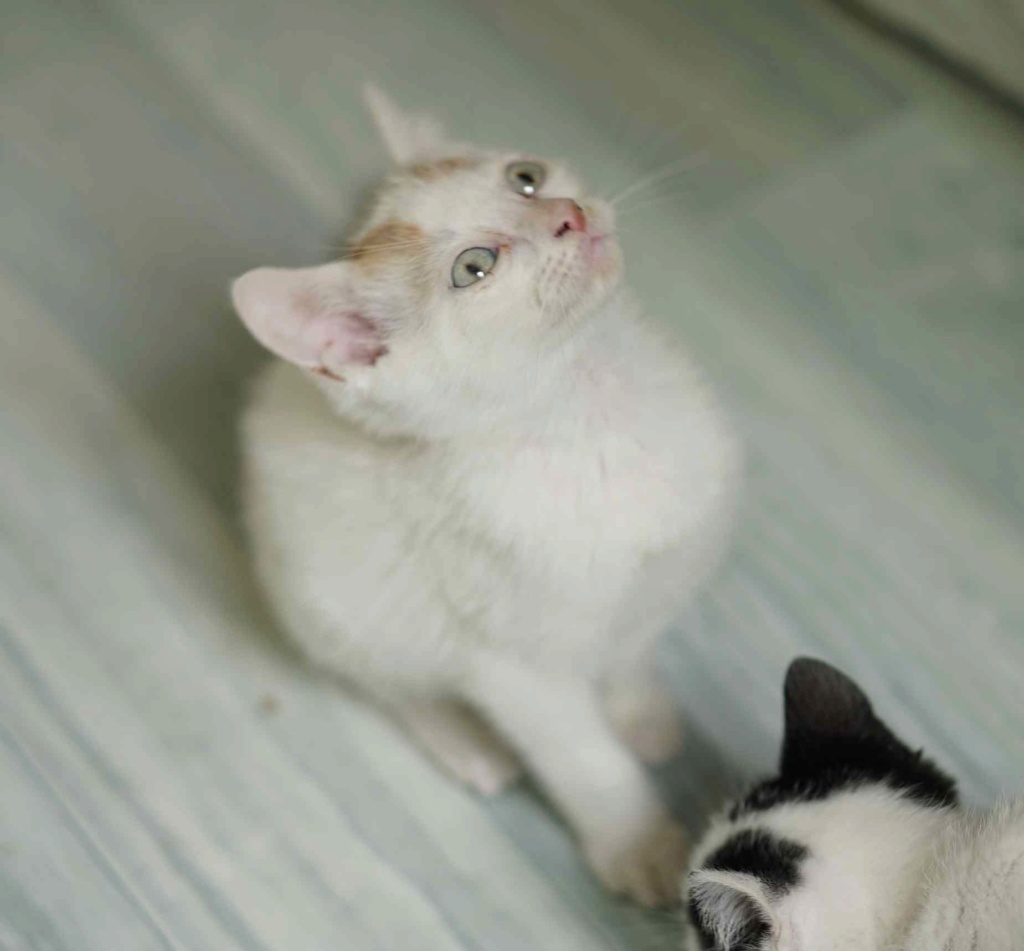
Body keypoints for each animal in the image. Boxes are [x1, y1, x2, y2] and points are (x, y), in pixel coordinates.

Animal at [230, 89, 737, 904]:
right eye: (474, 267)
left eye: (524, 178)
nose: (567, 213)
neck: (596, 405)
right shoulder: (512, 663)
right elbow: (585, 758)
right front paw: (642, 846)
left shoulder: (657, 570)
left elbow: (633, 642)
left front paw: (641, 711)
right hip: (330, 603)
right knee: (383, 680)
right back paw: (463, 741)